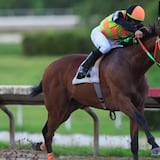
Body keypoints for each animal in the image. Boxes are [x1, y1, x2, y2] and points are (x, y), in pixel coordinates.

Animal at [31, 25, 160, 160]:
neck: (131, 67)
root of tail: (49, 67)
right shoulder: (122, 101)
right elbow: (142, 119)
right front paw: (155, 145)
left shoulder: (138, 105)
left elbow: (134, 143)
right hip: (56, 109)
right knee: (49, 133)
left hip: (67, 109)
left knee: (47, 131)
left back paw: (39, 145)